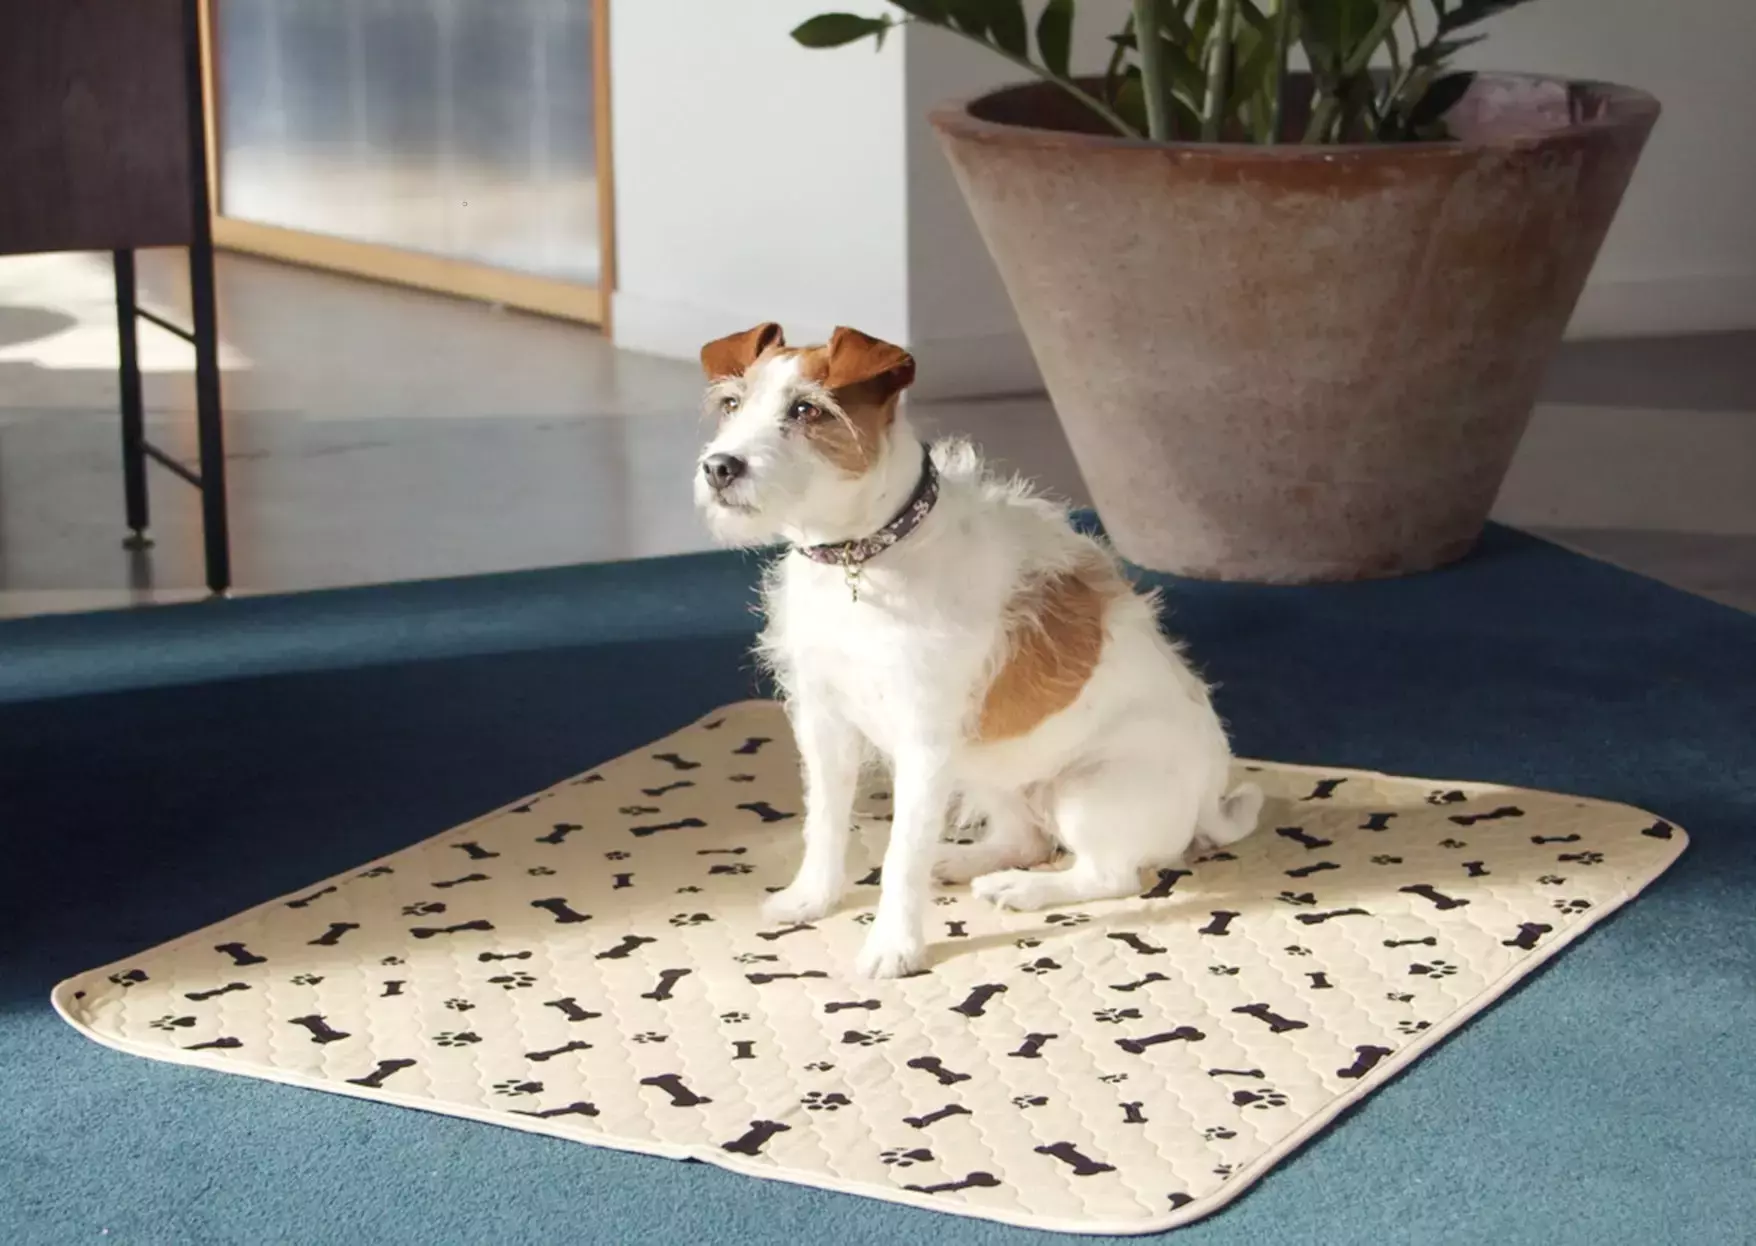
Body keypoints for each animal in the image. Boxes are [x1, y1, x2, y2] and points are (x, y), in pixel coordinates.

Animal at [691, 324, 1257, 982]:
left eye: (807, 410)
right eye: (733, 405)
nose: (719, 467)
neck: (865, 558)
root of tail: (1209, 802)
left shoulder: (924, 743)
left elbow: (900, 854)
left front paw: (893, 948)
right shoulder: (823, 721)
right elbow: (825, 821)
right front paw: (811, 899)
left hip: (1084, 791)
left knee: (1110, 876)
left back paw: (1024, 890)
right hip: (991, 773)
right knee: (1028, 839)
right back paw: (966, 864)